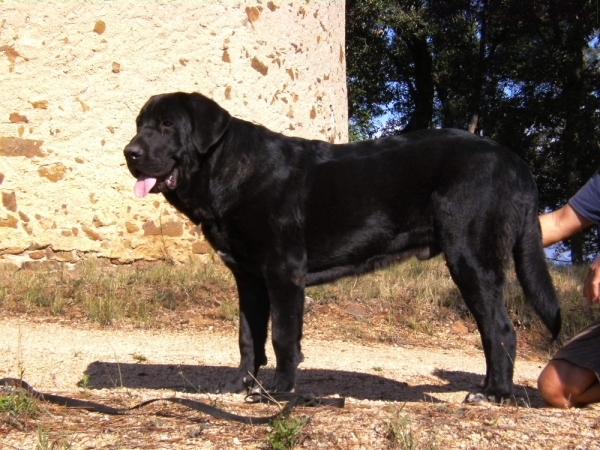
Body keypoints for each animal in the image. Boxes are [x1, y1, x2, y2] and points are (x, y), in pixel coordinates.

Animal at [124, 93, 560, 402]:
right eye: (140, 125)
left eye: (167, 125)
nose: (130, 153)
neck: (226, 170)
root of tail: (515, 160)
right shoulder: (249, 279)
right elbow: (249, 338)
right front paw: (241, 385)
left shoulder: (284, 273)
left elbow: (283, 337)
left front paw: (278, 392)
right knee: (491, 333)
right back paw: (488, 388)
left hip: (470, 258)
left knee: (500, 330)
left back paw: (494, 395)